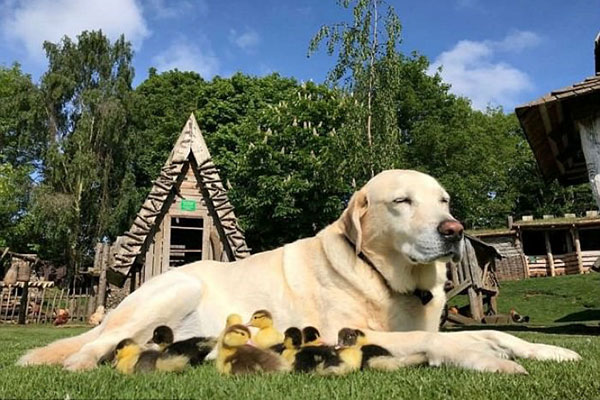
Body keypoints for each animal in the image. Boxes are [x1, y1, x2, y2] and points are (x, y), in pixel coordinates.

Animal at [19, 169, 580, 372]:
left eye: (443, 200)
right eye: (402, 201)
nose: (454, 229)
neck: (389, 280)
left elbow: (497, 332)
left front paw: (550, 350)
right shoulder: (343, 331)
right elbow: (447, 339)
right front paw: (483, 357)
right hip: (176, 287)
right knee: (91, 349)